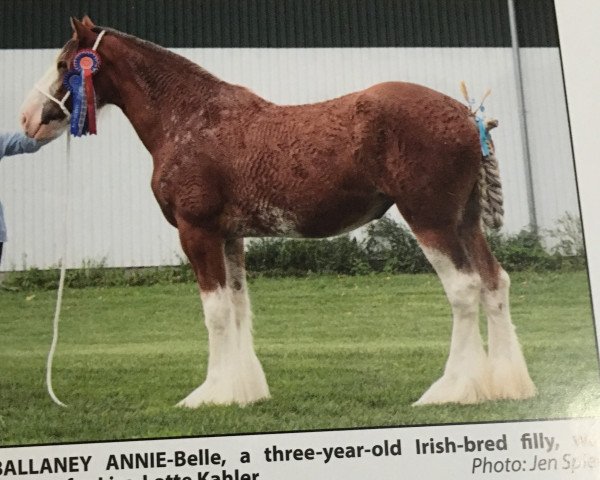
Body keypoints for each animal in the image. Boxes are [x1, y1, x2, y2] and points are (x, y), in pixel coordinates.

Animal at [19, 19, 536, 408]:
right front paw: (244, 392)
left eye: (65, 65)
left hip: (430, 220)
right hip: (464, 222)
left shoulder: (197, 232)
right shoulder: (229, 236)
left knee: (465, 289)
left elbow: (216, 313)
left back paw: (452, 390)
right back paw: (507, 385)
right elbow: (239, 307)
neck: (190, 121)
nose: (28, 120)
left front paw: (209, 395)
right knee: (495, 282)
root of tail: (469, 116)